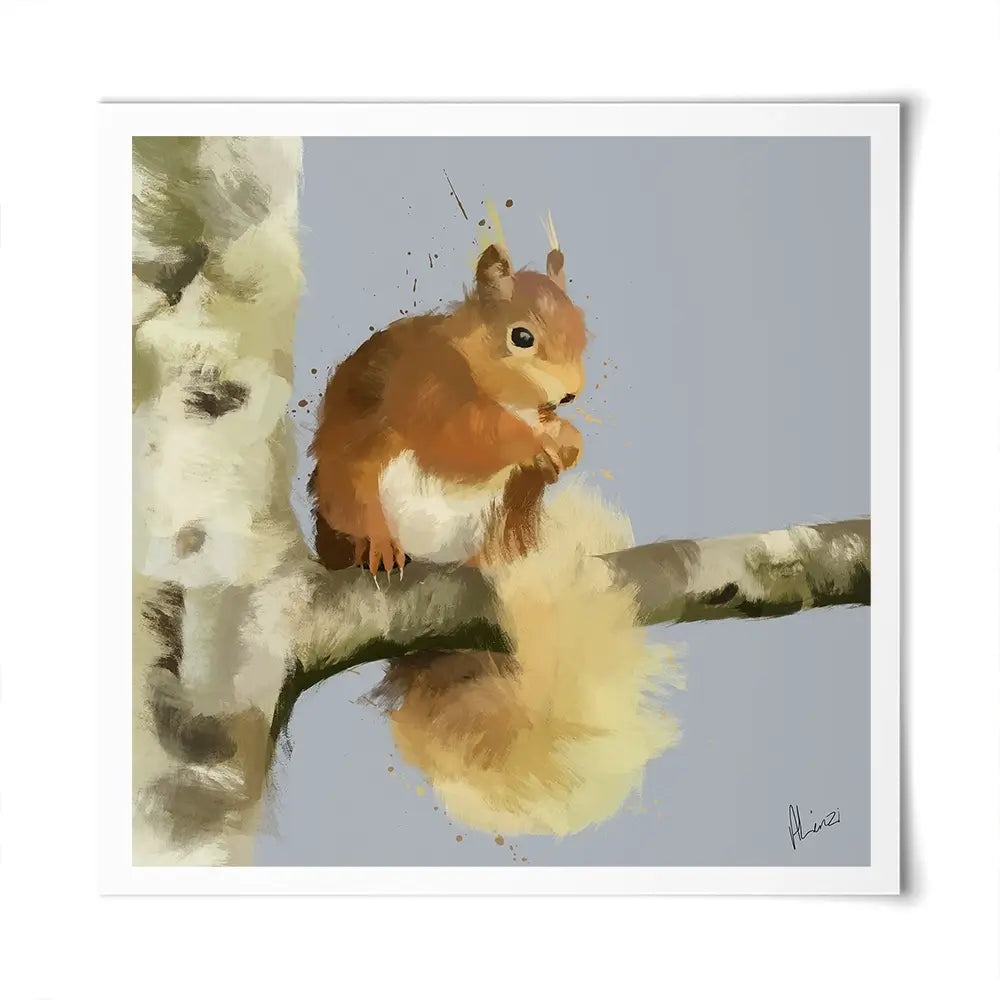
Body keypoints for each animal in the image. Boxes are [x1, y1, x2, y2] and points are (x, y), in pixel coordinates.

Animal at [307, 235, 681, 837]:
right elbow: (466, 436)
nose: (569, 396)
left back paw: (487, 560)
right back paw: (380, 548)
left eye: (583, 327)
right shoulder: (427, 389)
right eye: (521, 336)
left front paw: (567, 441)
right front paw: (536, 438)